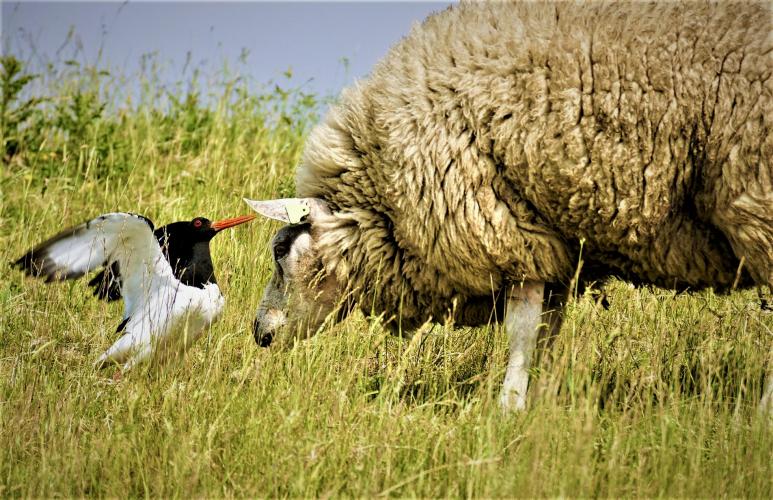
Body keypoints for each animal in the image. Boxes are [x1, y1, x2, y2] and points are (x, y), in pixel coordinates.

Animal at [246, 0, 772, 414]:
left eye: (279, 252)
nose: (258, 333)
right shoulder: (551, 241)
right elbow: (546, 331)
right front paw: (537, 401)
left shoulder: (506, 229)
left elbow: (521, 329)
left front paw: (508, 407)